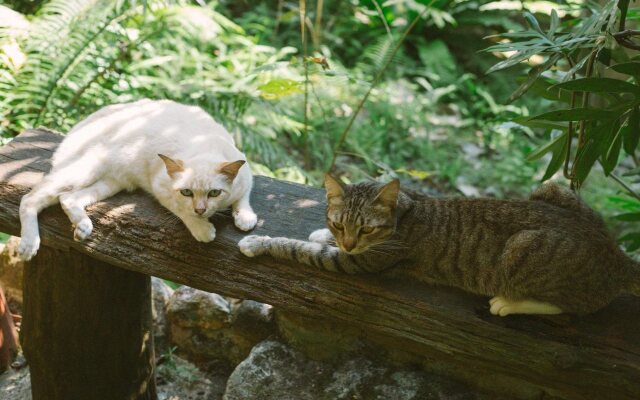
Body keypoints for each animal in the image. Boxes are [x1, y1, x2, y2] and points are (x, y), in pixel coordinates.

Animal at [18, 97, 258, 260]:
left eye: (214, 193)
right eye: (186, 192)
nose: (201, 210)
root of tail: (81, 123)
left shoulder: (245, 176)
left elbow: (243, 199)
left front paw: (245, 218)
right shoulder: (160, 188)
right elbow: (182, 212)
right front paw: (203, 229)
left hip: (111, 182)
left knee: (67, 198)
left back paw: (83, 227)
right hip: (86, 170)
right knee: (29, 198)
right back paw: (29, 245)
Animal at [240, 175, 640, 316]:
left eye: (366, 229)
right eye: (339, 223)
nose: (350, 243)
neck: (405, 213)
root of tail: (618, 257)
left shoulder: (356, 264)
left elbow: (297, 248)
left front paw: (260, 241)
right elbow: (320, 241)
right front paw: (321, 234)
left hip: (522, 249)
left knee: (569, 307)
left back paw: (508, 303)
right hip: (551, 187)